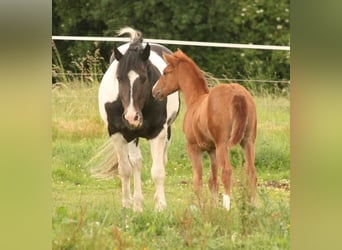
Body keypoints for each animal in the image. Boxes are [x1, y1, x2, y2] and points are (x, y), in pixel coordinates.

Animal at [93, 27, 179, 211]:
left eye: (144, 77)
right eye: (119, 78)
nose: (132, 117)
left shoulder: (158, 133)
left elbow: (158, 171)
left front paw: (160, 207)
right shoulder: (117, 133)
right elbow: (125, 169)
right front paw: (128, 205)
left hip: (165, 132)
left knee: (161, 161)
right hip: (132, 136)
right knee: (136, 163)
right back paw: (138, 204)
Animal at [152, 49, 256, 211]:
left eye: (165, 72)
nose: (154, 91)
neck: (195, 100)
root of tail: (237, 94)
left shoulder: (193, 147)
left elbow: (198, 180)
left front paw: (201, 208)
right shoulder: (211, 150)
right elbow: (212, 181)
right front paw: (213, 208)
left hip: (222, 144)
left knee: (227, 172)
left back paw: (227, 208)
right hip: (248, 141)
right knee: (251, 172)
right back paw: (255, 207)